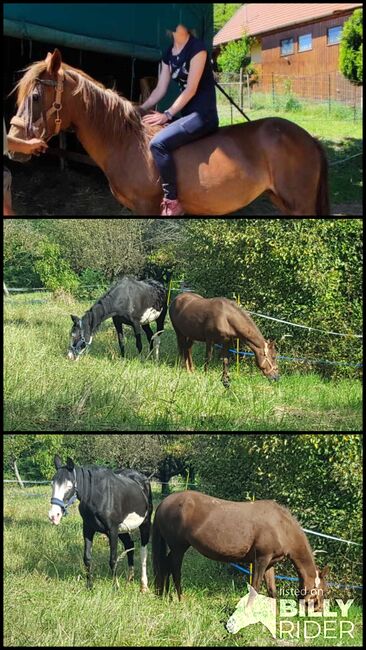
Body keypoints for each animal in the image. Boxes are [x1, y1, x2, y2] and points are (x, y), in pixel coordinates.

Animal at [48, 454, 153, 588]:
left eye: (69, 486)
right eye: (52, 484)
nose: (53, 516)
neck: (97, 495)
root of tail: (143, 479)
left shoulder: (112, 530)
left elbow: (113, 559)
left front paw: (115, 587)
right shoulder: (88, 529)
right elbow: (87, 558)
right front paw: (89, 586)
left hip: (145, 523)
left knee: (143, 551)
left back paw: (144, 585)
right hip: (123, 530)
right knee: (130, 545)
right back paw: (130, 579)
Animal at [152, 492, 328, 608]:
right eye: (318, 591)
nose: (318, 611)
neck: (281, 526)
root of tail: (163, 503)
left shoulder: (270, 564)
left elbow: (272, 590)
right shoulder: (260, 560)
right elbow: (255, 588)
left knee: (165, 567)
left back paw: (164, 596)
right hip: (178, 548)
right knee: (175, 570)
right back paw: (181, 599)